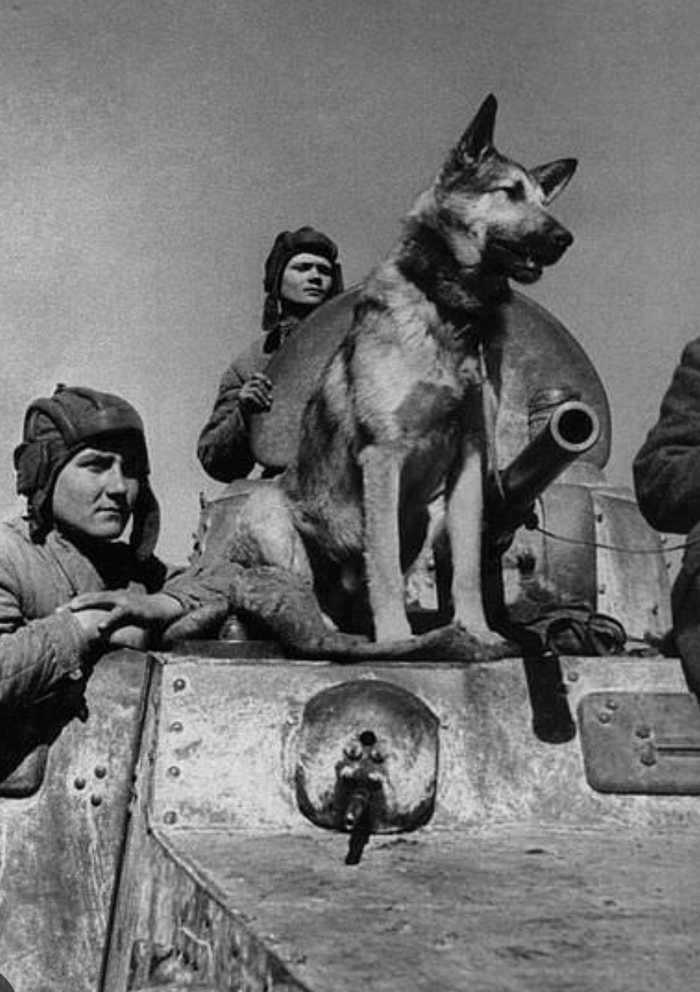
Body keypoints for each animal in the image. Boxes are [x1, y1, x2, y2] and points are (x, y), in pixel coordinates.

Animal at [228, 95, 577, 648]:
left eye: (545, 200)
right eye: (509, 192)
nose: (565, 238)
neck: (451, 310)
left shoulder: (468, 465)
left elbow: (467, 568)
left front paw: (478, 632)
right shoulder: (383, 455)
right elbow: (386, 565)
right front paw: (396, 638)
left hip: (420, 520)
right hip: (269, 515)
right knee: (289, 586)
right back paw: (328, 627)